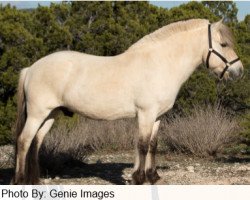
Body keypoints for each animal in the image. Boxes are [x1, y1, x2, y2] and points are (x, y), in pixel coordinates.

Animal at [12, 18, 243, 184]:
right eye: (223, 44)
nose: (239, 71)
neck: (160, 64)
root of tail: (31, 68)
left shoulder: (157, 117)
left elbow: (153, 145)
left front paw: (152, 177)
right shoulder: (145, 114)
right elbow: (142, 145)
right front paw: (139, 178)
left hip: (51, 114)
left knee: (36, 142)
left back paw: (34, 180)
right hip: (37, 114)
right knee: (24, 141)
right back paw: (20, 181)